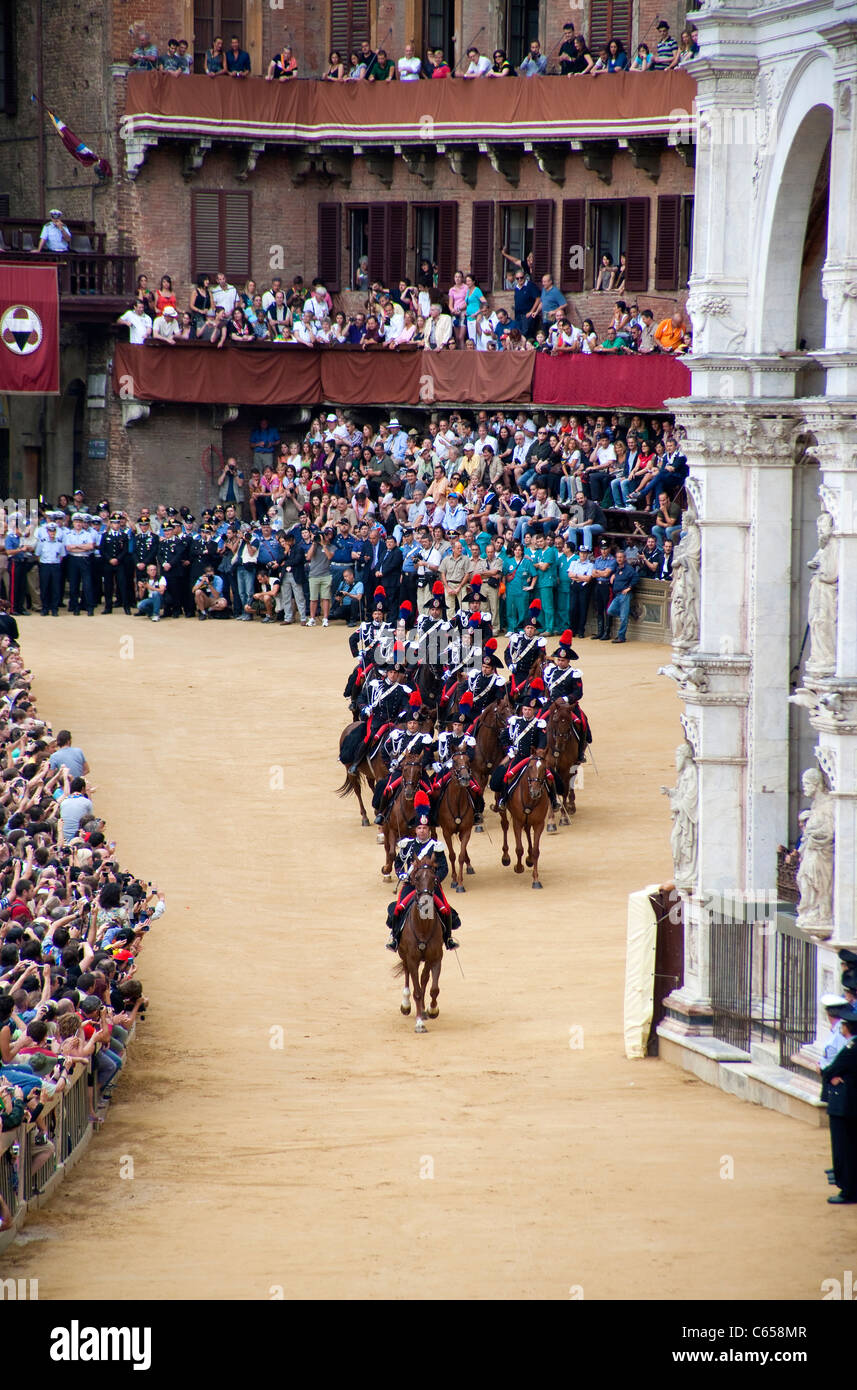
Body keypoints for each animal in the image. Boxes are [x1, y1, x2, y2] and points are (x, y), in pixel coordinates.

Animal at [391, 856, 444, 1034]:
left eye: (434, 879)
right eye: (416, 877)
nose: (425, 903)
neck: (422, 927)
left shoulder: (435, 958)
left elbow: (432, 987)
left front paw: (432, 1010)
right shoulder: (413, 959)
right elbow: (418, 991)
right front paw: (420, 1023)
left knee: (424, 980)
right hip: (403, 954)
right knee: (407, 973)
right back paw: (406, 1004)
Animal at [433, 750, 475, 889]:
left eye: (468, 760)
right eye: (455, 761)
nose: (465, 778)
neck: (457, 803)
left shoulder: (466, 831)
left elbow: (460, 856)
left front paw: (460, 883)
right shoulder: (446, 832)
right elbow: (451, 855)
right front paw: (454, 879)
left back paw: (469, 864)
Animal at [497, 756, 552, 884]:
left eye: (544, 768)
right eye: (530, 767)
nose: (535, 792)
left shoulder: (539, 824)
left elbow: (536, 851)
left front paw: (536, 878)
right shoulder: (517, 822)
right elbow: (519, 848)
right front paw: (518, 867)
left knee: (527, 829)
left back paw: (530, 859)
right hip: (502, 808)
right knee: (505, 825)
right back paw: (505, 857)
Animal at [544, 700, 586, 828]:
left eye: (569, 721)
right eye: (556, 719)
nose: (560, 744)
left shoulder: (567, 769)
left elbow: (565, 790)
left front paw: (563, 817)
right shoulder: (548, 767)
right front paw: (551, 820)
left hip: (575, 765)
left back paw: (570, 805)